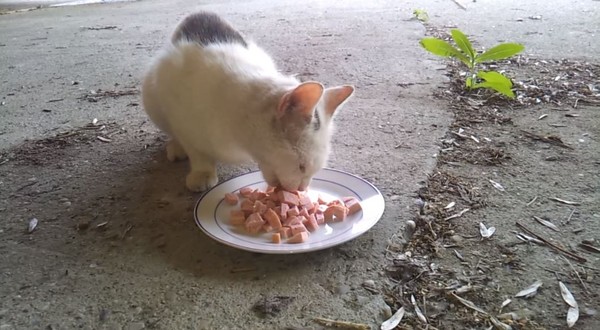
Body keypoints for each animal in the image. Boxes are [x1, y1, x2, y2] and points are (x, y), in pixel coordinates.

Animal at [142, 12, 354, 191]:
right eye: (302, 166)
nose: (302, 189)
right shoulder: (180, 115)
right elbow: (196, 151)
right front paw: (202, 172)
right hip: (151, 94)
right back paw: (176, 147)